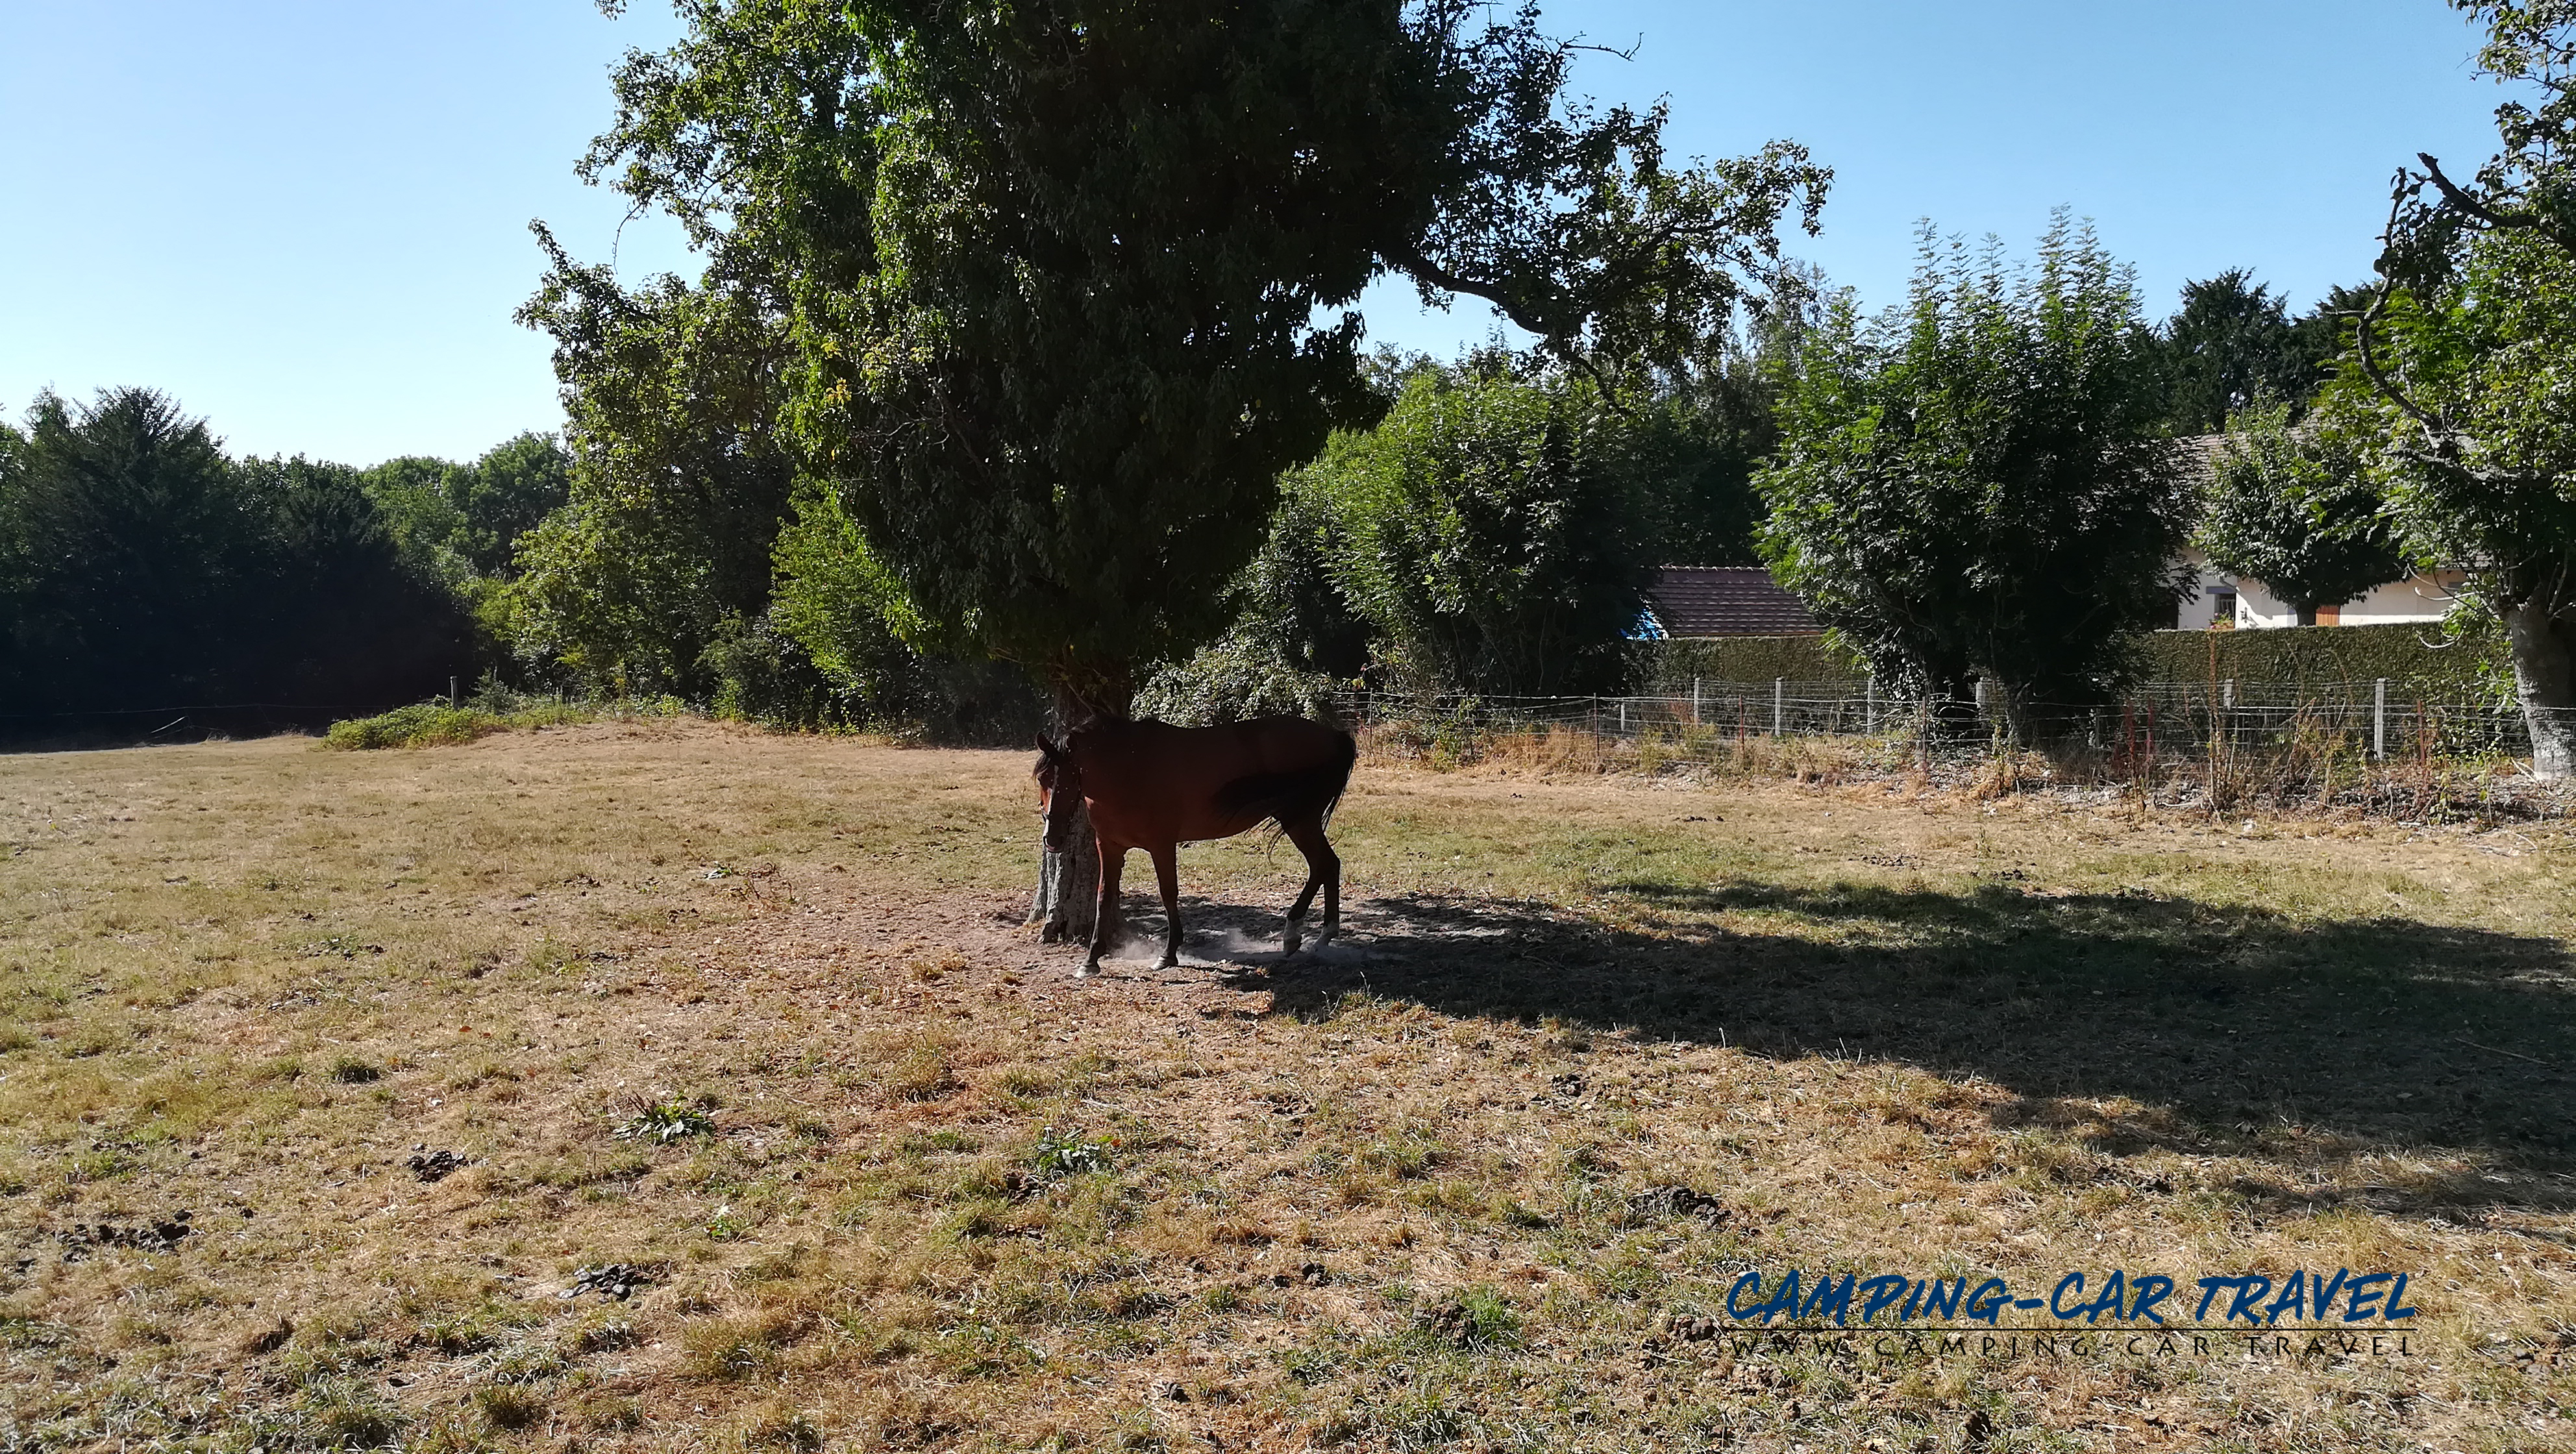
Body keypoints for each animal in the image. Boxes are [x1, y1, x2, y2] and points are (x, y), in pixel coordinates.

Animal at [1025, 715, 1360, 972]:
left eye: (1071, 778)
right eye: (1043, 780)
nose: (1052, 839)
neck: (1130, 768)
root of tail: (1334, 736)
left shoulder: (1161, 845)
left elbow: (1168, 893)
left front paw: (1168, 954)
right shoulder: (1109, 846)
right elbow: (1104, 896)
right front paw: (1091, 959)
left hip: (1299, 820)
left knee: (1323, 865)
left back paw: (1300, 933)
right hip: (1301, 822)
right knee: (1327, 865)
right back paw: (1317, 935)